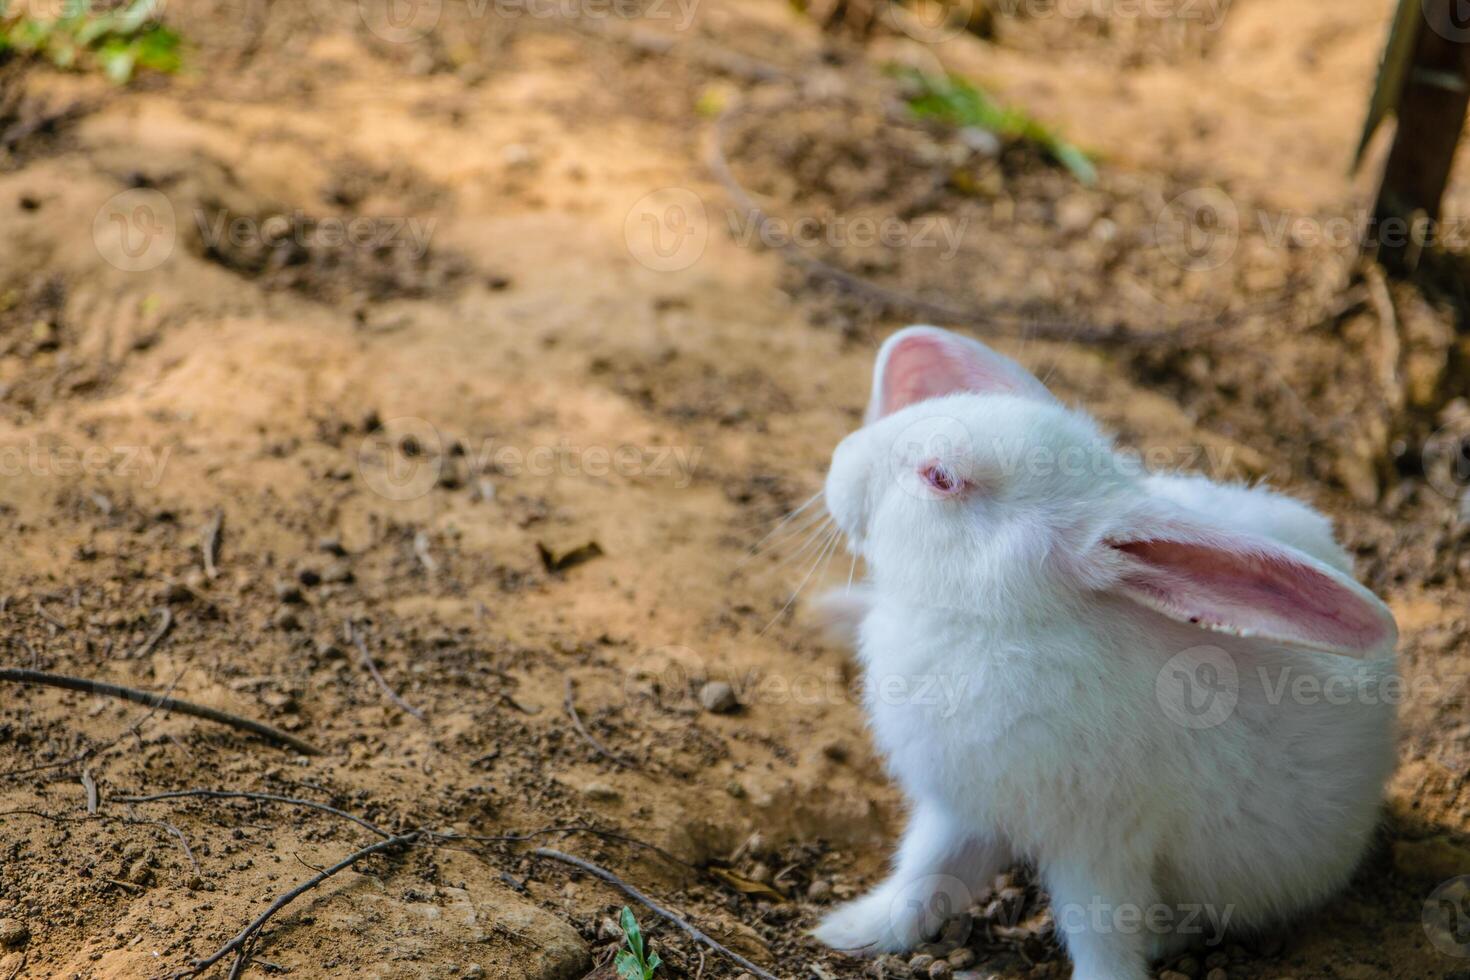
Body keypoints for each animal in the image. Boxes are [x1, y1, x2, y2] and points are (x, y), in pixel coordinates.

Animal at [817, 327, 1399, 980]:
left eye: (940, 477)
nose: (839, 460)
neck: (1001, 622)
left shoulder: (1099, 850)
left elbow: (1100, 933)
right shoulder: (961, 809)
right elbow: (924, 878)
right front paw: (850, 932)